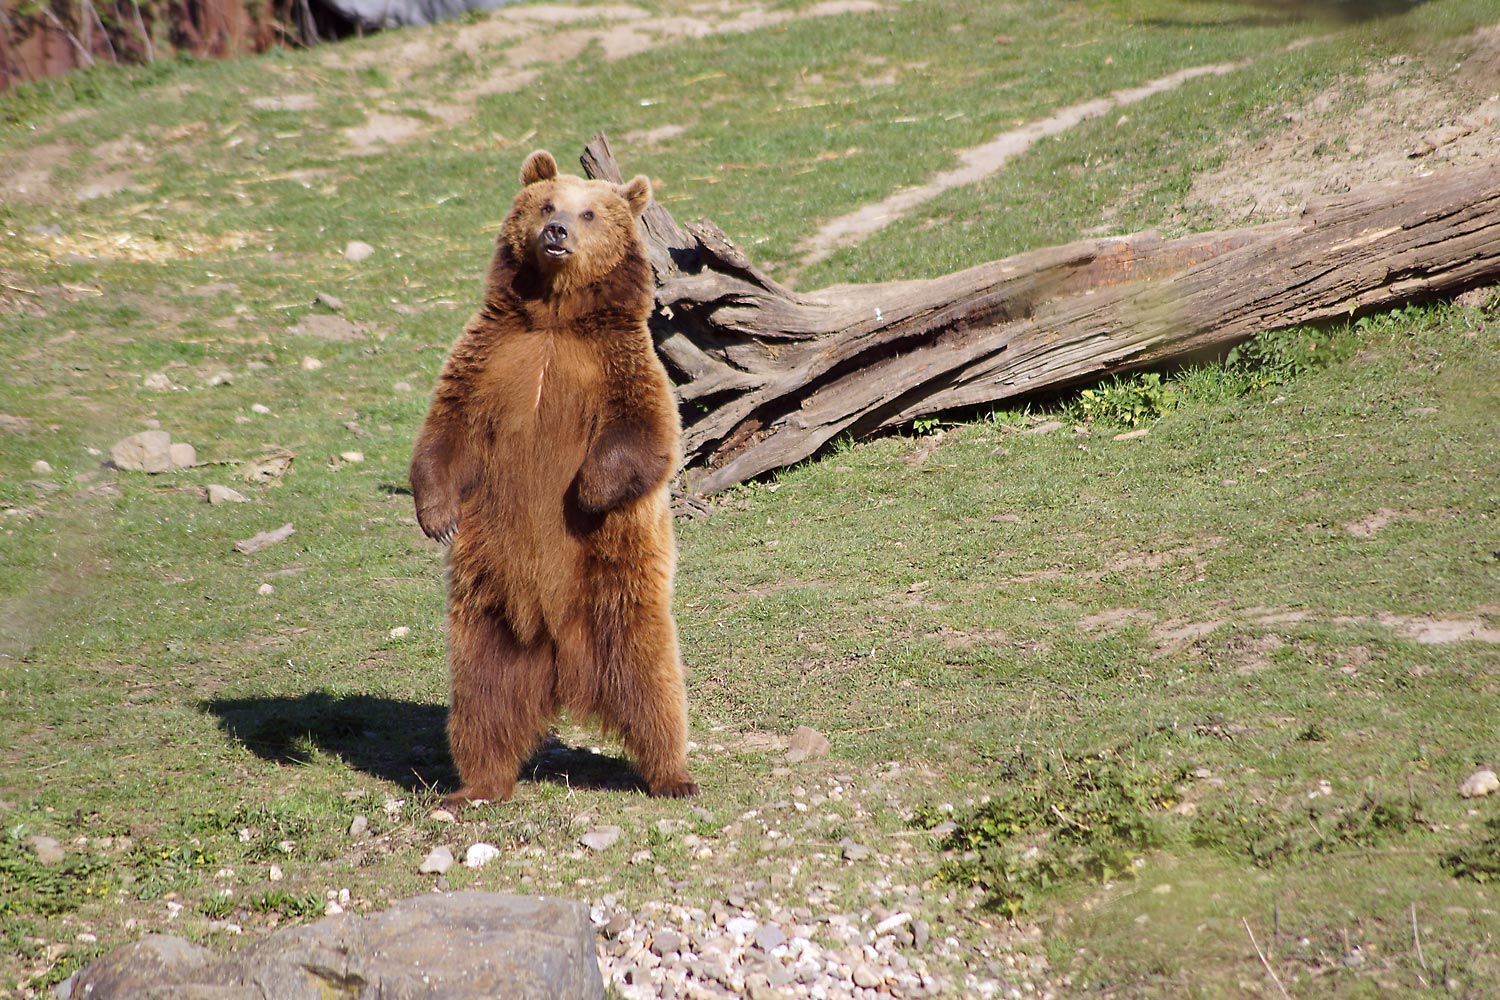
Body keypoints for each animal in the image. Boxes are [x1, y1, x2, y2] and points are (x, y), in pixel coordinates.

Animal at [405, 146, 696, 803]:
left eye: (588, 211)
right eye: (546, 204)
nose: (557, 231)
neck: (556, 318)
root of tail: (564, 666)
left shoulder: (619, 364)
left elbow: (648, 436)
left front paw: (585, 491)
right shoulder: (491, 358)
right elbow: (445, 431)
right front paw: (437, 517)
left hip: (615, 584)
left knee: (653, 681)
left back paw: (673, 775)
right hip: (491, 602)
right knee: (482, 697)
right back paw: (477, 785)